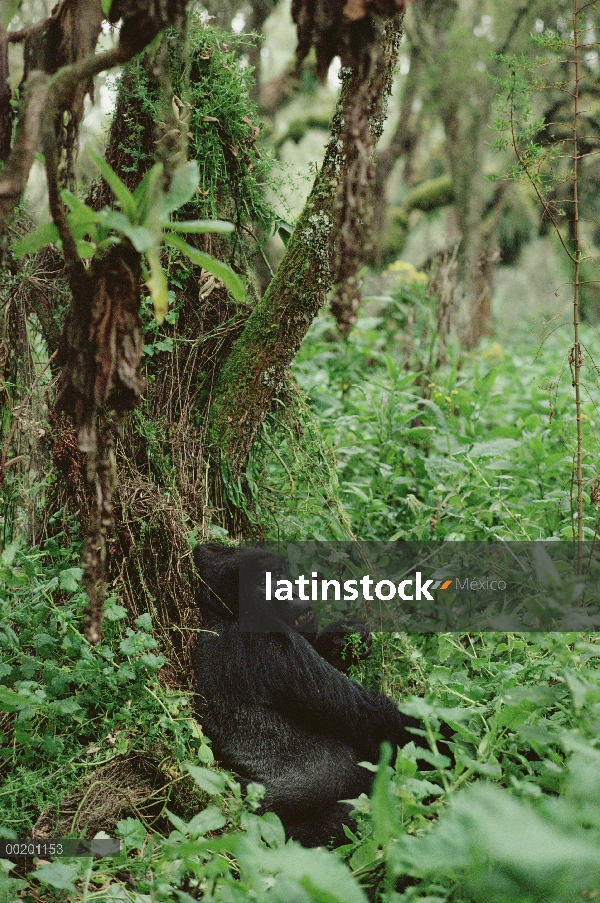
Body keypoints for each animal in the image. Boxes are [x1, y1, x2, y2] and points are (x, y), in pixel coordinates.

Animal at [192, 544, 418, 848]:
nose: (292, 593)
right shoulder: (272, 641)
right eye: (263, 582)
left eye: (277, 574)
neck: (226, 614)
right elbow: (374, 720)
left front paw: (341, 640)